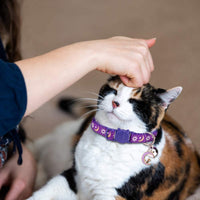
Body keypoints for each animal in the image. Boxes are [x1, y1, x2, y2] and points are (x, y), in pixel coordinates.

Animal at [29, 76, 200, 199]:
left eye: (134, 101)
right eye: (114, 91)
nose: (115, 102)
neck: (110, 142)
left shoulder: (115, 194)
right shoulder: (73, 175)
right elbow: (44, 193)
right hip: (62, 140)